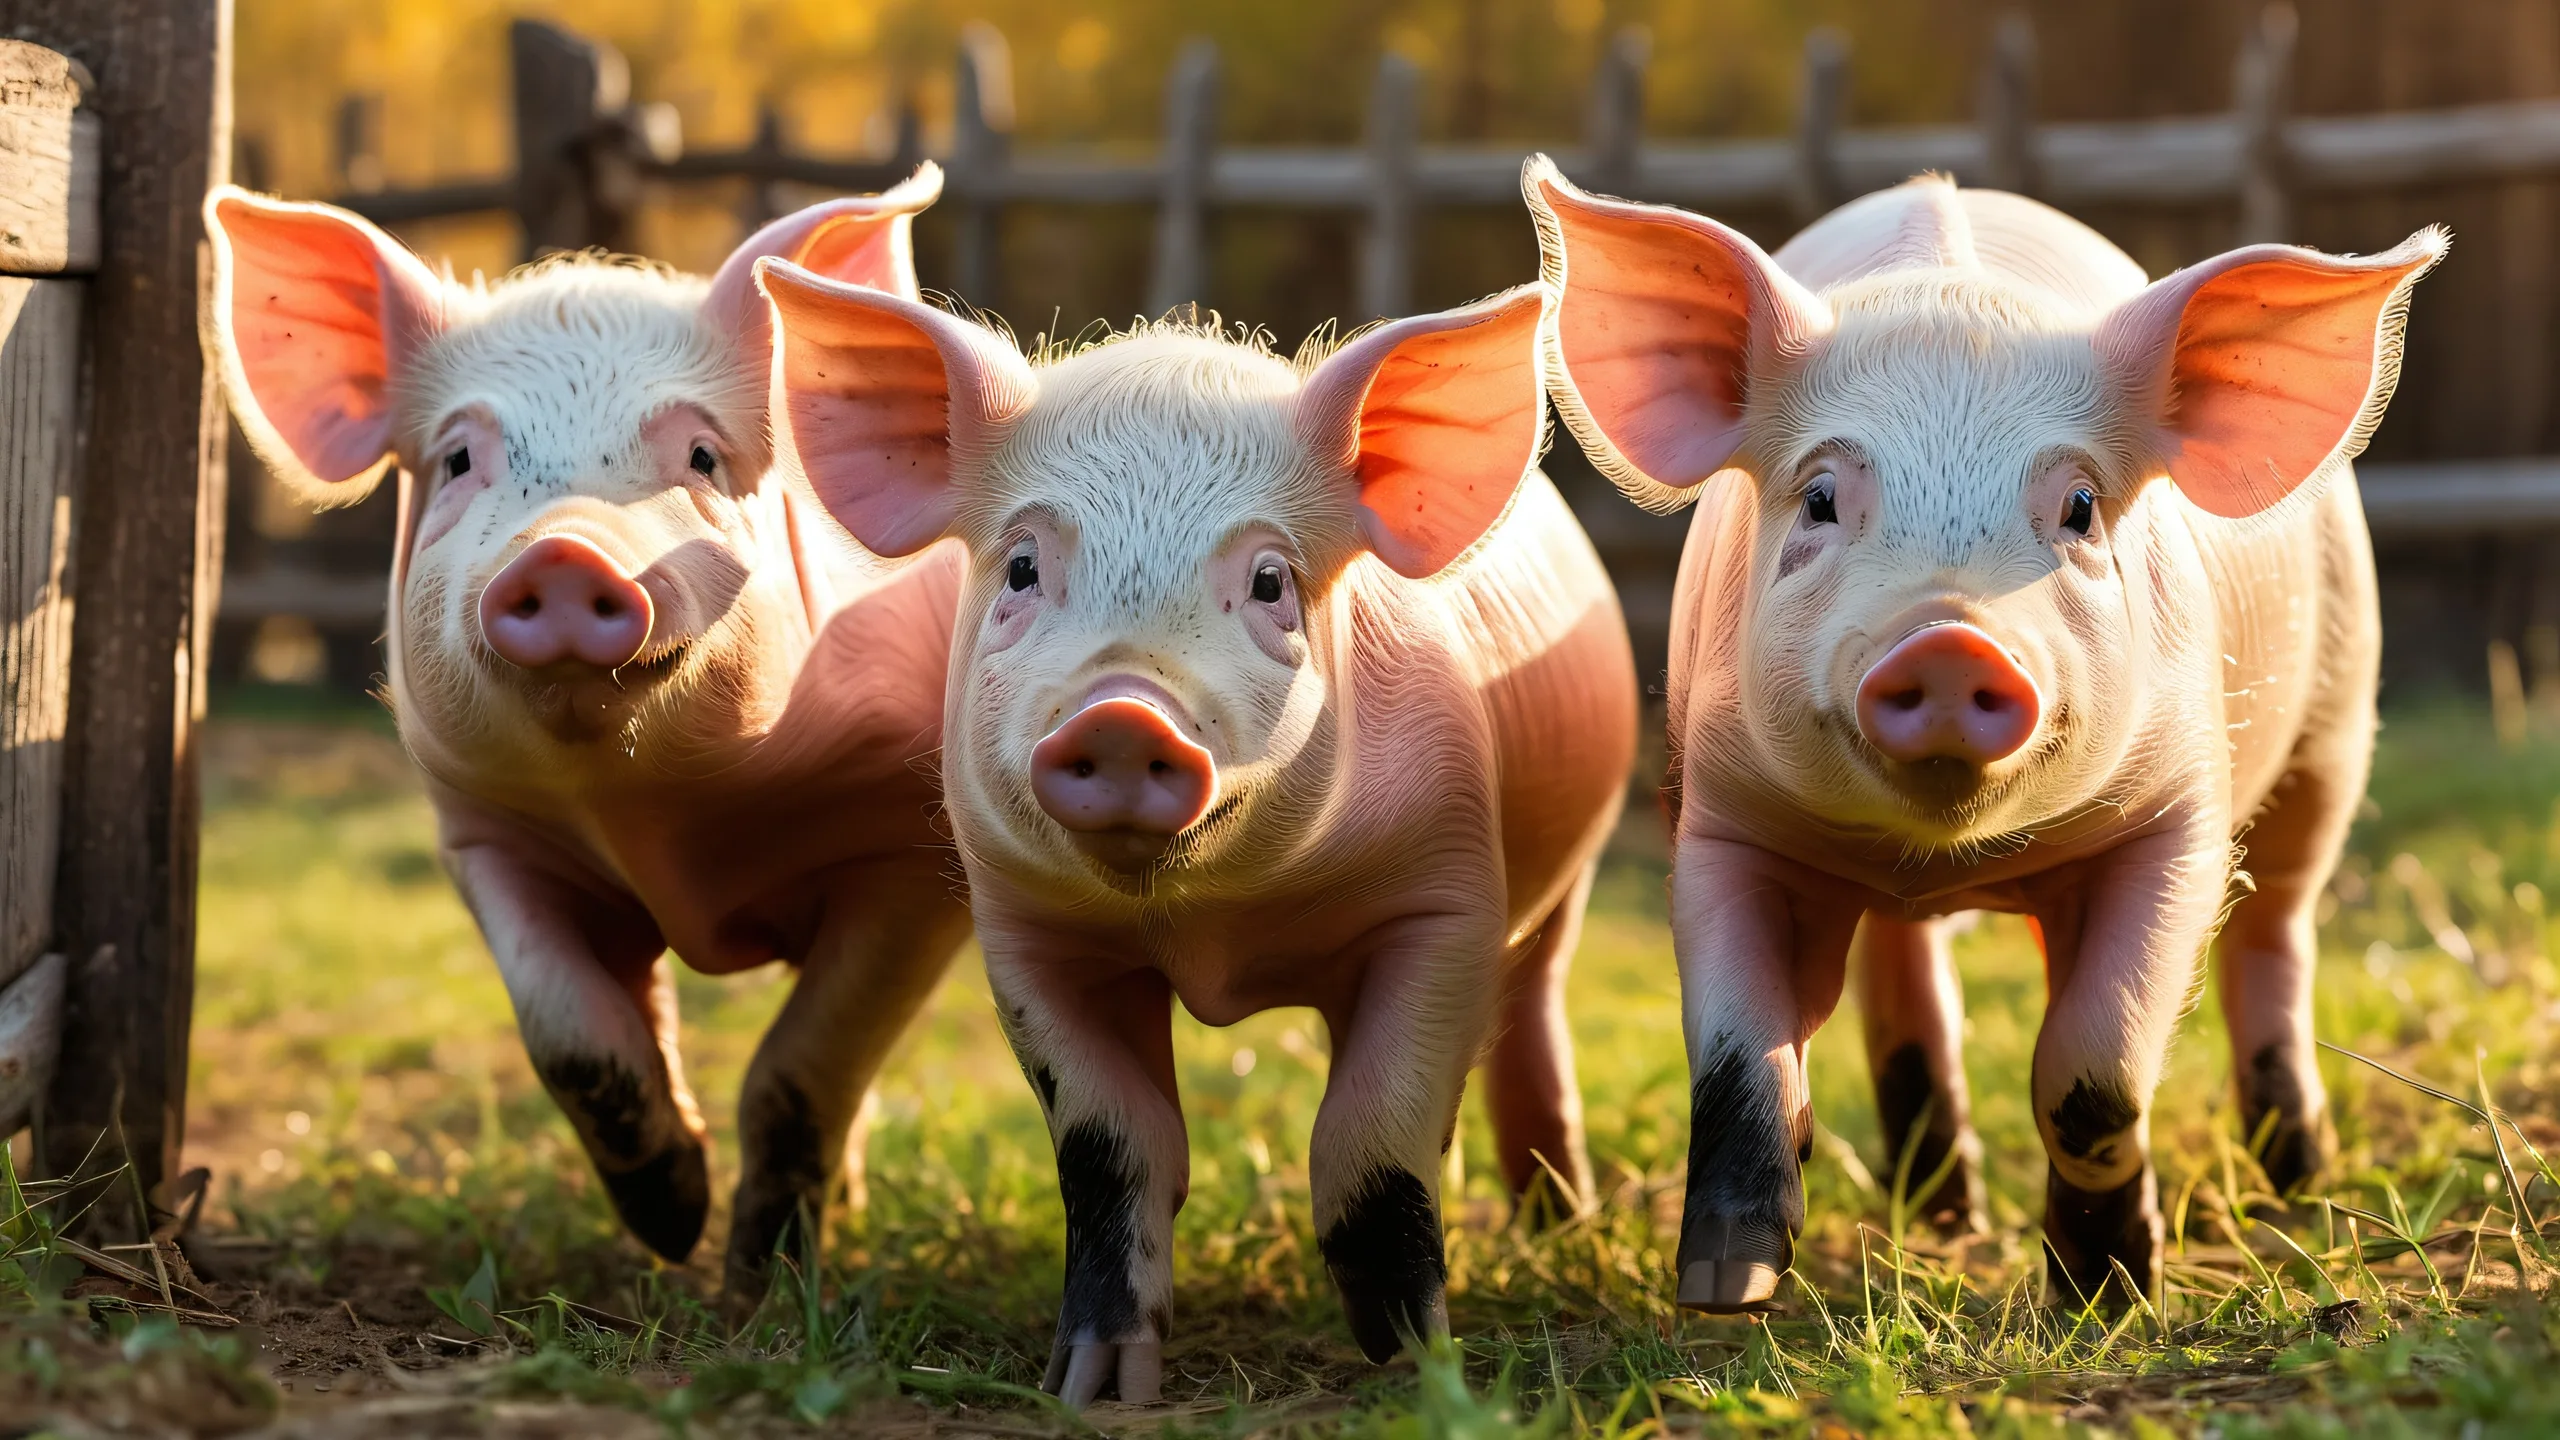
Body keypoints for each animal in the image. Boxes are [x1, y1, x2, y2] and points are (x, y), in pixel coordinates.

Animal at [202, 167, 972, 1294]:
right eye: (460, 458)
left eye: (701, 454)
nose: (563, 552)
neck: (659, 824)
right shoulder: (488, 837)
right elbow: (572, 1036)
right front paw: (671, 1220)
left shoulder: (909, 857)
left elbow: (804, 1067)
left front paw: (758, 1281)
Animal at [756, 263, 1637, 1403]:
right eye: (1022, 569)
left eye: (1269, 582)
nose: (1122, 715)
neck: (1213, 932)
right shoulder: (1028, 934)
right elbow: (1114, 1149)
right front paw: (1094, 1388)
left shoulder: (1446, 901)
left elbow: (1369, 1139)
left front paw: (1419, 1370)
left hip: (1565, 881)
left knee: (1530, 1014)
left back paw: (1558, 1223)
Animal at [1524, 157, 2441, 1310]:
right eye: (1818, 499)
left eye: (2082, 506)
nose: (1951, 639)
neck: (1946, 851)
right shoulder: (1724, 822)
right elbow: (1739, 1064)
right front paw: (1724, 1290)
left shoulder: (2177, 822)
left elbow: (2091, 1069)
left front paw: (2108, 1296)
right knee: (1908, 972)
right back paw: (1939, 1208)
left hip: (2331, 728)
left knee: (2276, 930)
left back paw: (2297, 1178)